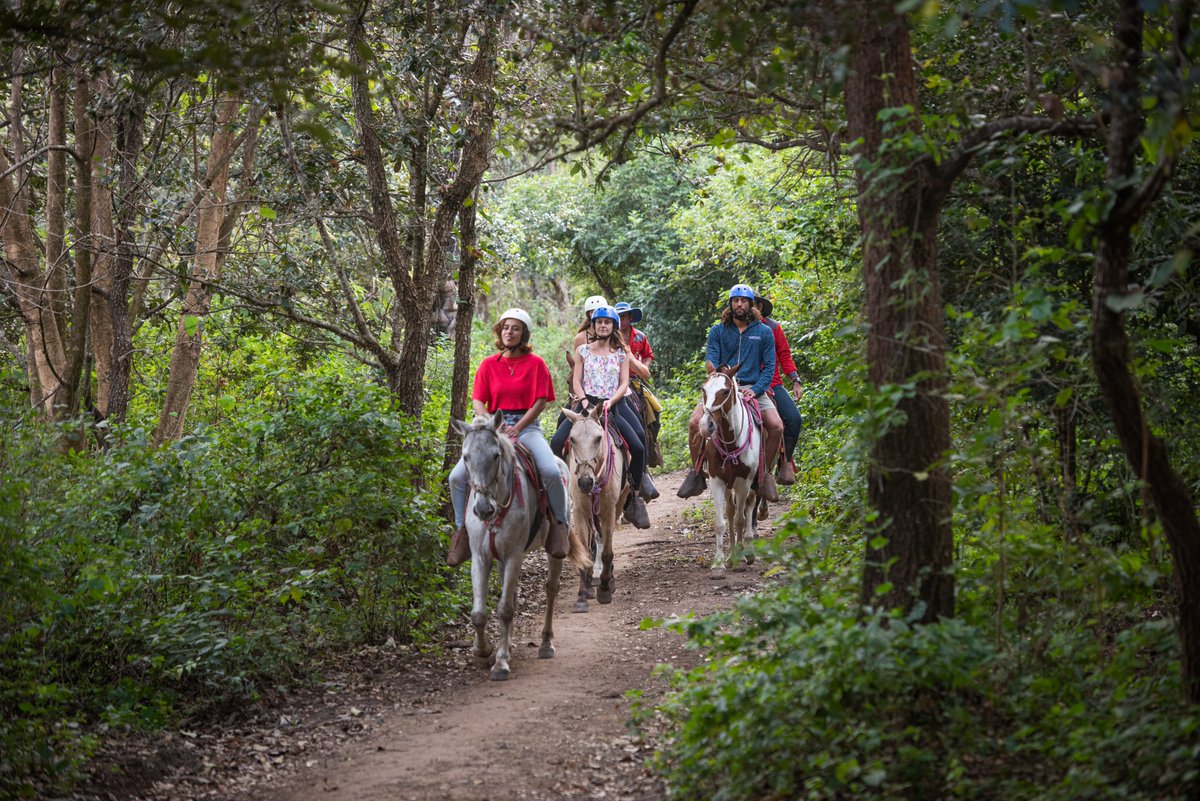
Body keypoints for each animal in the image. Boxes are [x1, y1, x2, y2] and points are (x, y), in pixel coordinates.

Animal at [452, 411, 591, 680]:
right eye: (465, 457)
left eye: (495, 455)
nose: (482, 509)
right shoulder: (480, 557)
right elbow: (478, 613)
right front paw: (483, 650)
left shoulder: (514, 555)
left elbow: (505, 609)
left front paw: (500, 663)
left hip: (553, 551)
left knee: (551, 589)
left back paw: (546, 644)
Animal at [561, 405, 629, 612]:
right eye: (572, 439)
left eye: (598, 438)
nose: (585, 482)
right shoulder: (580, 512)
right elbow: (585, 551)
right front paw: (582, 595)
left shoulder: (609, 510)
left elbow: (607, 552)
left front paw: (605, 589)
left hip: (620, 502)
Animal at [699, 366, 763, 576]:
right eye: (703, 389)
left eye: (725, 392)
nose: (706, 425)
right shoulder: (717, 480)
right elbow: (721, 522)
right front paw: (719, 563)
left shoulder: (744, 482)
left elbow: (740, 520)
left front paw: (739, 560)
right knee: (730, 510)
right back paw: (732, 554)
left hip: (754, 481)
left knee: (749, 507)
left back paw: (747, 552)